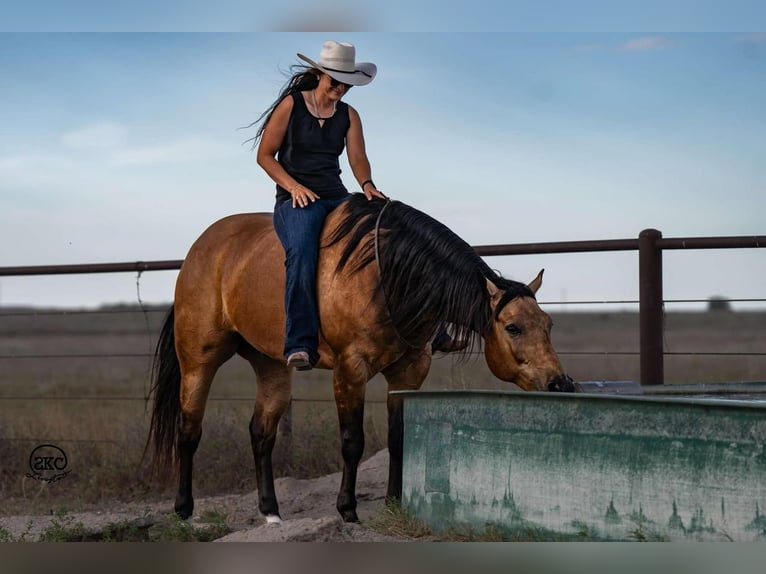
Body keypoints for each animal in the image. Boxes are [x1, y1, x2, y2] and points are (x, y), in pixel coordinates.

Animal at [147, 194, 572, 528]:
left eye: (549, 324)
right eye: (513, 327)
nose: (560, 383)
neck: (389, 277)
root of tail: (200, 250)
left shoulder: (408, 373)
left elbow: (398, 437)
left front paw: (394, 501)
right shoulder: (350, 371)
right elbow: (353, 441)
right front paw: (347, 509)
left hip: (271, 366)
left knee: (261, 433)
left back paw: (270, 511)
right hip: (198, 362)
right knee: (189, 430)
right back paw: (183, 509)